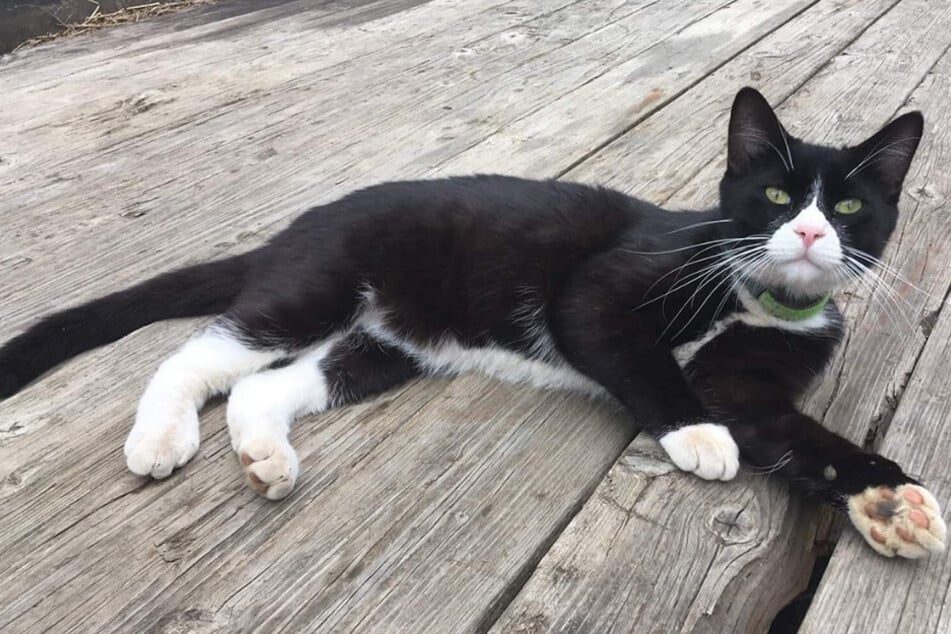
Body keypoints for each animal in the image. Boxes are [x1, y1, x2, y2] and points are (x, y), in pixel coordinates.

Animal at [1, 86, 944, 556]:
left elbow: (792, 434)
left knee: (268, 387)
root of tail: (299, 226)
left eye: (850, 207)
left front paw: (890, 501)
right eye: (776, 196)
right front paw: (697, 436)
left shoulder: (755, 382)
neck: (755, 298)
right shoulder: (599, 291)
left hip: (388, 340)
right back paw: (160, 437)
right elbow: (644, 362)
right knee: (200, 354)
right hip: (319, 284)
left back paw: (266, 456)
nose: (811, 233)